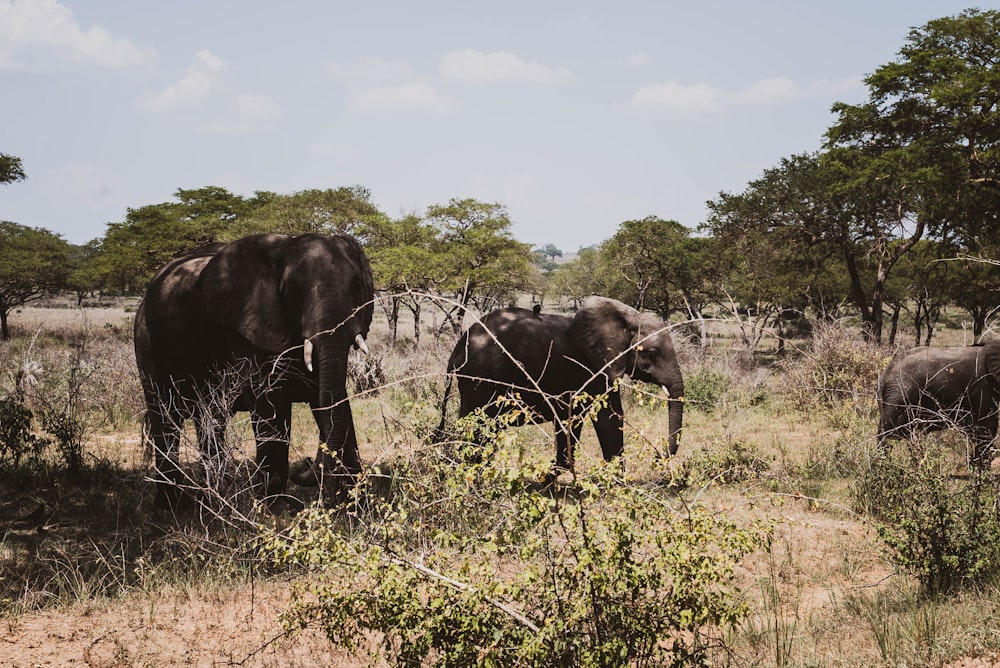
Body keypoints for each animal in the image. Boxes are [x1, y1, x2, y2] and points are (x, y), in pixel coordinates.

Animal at [135, 232, 376, 508]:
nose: (304, 465)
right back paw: (172, 505)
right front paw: (275, 509)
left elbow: (331, 400)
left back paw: (214, 498)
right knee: (165, 418)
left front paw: (358, 506)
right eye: (293, 291)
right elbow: (269, 402)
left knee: (210, 419)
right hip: (146, 342)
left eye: (356, 287)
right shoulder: (246, 326)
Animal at [434, 298, 684, 480]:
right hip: (480, 379)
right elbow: (599, 419)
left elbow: (606, 417)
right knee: (476, 429)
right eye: (652, 353)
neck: (626, 317)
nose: (658, 457)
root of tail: (459, 346)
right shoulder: (591, 368)